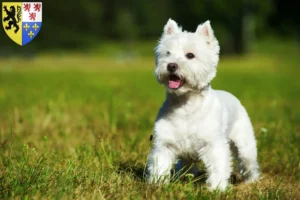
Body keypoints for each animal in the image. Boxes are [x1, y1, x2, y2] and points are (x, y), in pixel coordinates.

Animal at [148, 18, 260, 191]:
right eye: (167, 53)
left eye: (190, 55)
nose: (171, 65)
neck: (185, 106)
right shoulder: (164, 143)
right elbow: (160, 164)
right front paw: (157, 185)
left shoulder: (213, 144)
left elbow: (218, 167)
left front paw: (217, 189)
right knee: (187, 165)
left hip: (244, 144)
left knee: (249, 163)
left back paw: (252, 182)